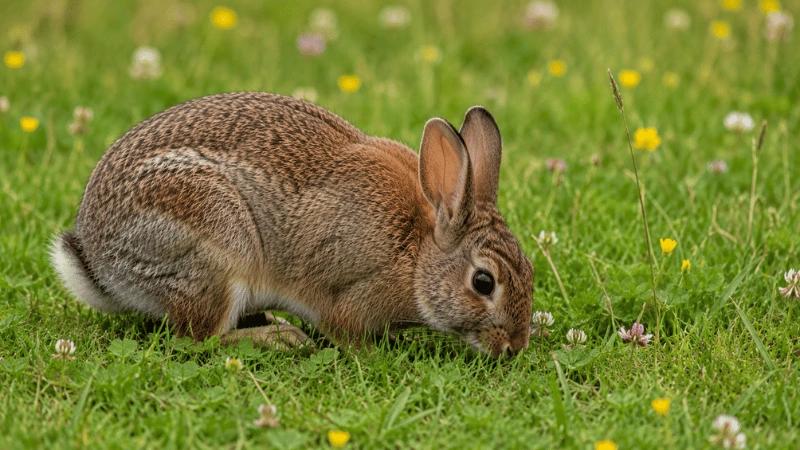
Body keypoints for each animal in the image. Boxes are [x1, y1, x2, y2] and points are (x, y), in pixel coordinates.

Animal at [51, 92, 533, 357]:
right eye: (484, 282)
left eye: (528, 270)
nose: (514, 347)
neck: (416, 254)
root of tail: (102, 266)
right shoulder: (349, 294)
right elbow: (345, 332)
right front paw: (373, 355)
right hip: (211, 249)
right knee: (198, 338)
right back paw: (282, 339)